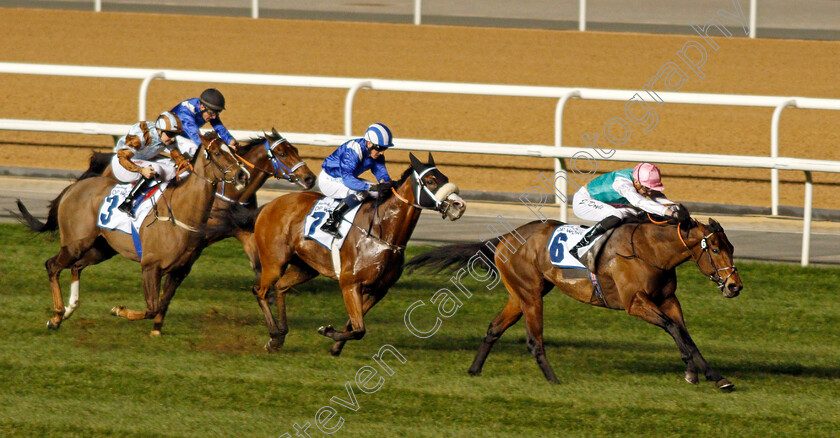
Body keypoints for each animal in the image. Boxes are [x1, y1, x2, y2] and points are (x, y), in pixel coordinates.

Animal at [14, 139, 248, 334]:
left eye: (233, 150)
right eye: (217, 153)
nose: (242, 175)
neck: (181, 212)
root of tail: (73, 187)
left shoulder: (180, 271)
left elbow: (162, 304)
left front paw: (156, 331)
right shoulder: (151, 266)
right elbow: (152, 308)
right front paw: (119, 310)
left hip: (102, 248)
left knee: (76, 266)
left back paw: (70, 309)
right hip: (75, 243)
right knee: (52, 265)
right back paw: (56, 316)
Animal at [246, 152, 470, 354]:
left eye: (445, 178)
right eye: (430, 181)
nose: (459, 205)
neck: (382, 234)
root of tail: (269, 206)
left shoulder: (379, 289)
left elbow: (354, 324)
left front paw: (336, 345)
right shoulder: (350, 284)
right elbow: (359, 328)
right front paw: (328, 332)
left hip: (306, 267)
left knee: (281, 287)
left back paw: (280, 336)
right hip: (274, 262)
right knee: (260, 291)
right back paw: (274, 335)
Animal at [406, 216, 740, 390]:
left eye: (732, 247)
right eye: (715, 249)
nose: (735, 286)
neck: (651, 250)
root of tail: (504, 238)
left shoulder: (668, 300)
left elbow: (684, 333)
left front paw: (713, 375)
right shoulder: (635, 303)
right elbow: (672, 328)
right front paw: (695, 372)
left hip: (520, 295)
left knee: (493, 328)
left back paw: (475, 370)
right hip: (530, 295)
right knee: (533, 340)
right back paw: (554, 380)